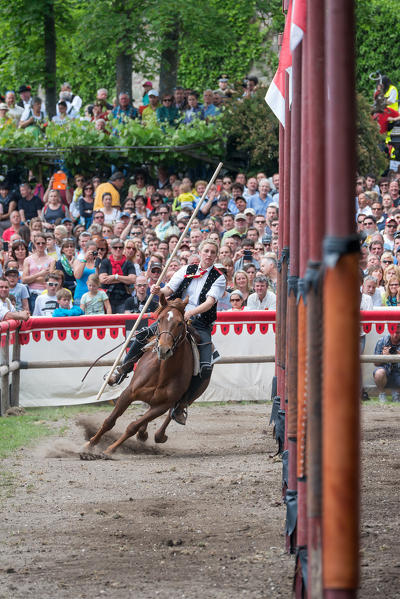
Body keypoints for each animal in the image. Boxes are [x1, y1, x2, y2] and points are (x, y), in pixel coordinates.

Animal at [83, 296, 211, 454]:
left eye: (180, 323)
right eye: (160, 319)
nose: (164, 349)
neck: (162, 373)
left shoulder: (162, 406)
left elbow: (133, 426)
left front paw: (110, 449)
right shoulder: (129, 393)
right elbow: (109, 421)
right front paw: (90, 444)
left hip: (189, 396)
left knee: (172, 413)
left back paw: (160, 434)